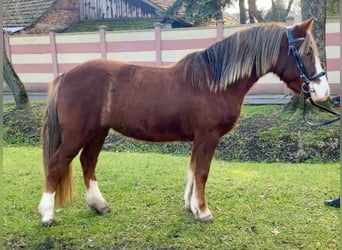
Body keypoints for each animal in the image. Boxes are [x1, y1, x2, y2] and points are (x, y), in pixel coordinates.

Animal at [39, 19, 328, 227]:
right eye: (307, 52)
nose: (322, 91)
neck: (214, 82)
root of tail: (66, 76)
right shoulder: (208, 137)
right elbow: (202, 172)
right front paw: (203, 211)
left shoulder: (198, 139)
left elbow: (192, 171)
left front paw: (191, 207)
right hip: (77, 134)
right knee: (56, 165)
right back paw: (47, 215)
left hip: (97, 133)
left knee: (88, 163)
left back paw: (98, 205)